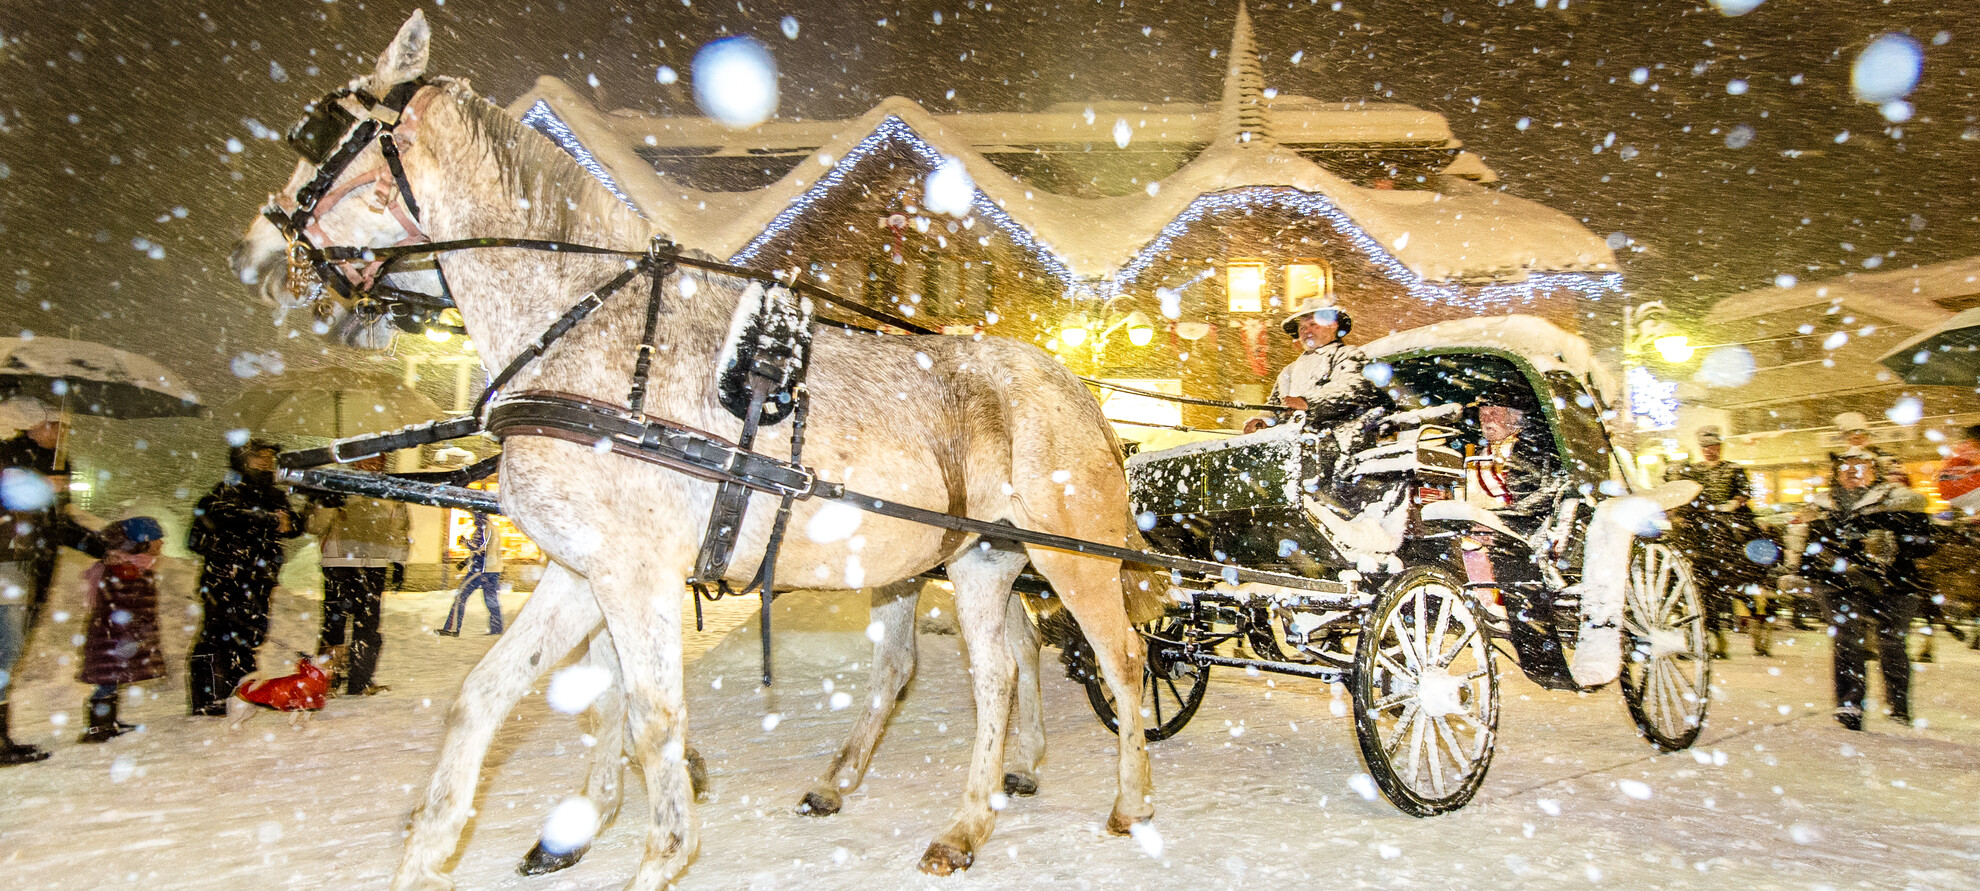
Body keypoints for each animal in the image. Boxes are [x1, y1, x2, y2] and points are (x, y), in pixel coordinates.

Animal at [231, 13, 1156, 891]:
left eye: (316, 133)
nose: (255, 250)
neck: (588, 330)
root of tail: (1077, 387)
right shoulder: (582, 571)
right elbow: (487, 697)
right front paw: (439, 852)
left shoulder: (636, 573)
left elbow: (651, 717)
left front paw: (656, 851)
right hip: (974, 561)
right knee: (993, 673)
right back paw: (964, 820)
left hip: (1073, 556)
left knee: (1120, 658)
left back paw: (1130, 800)